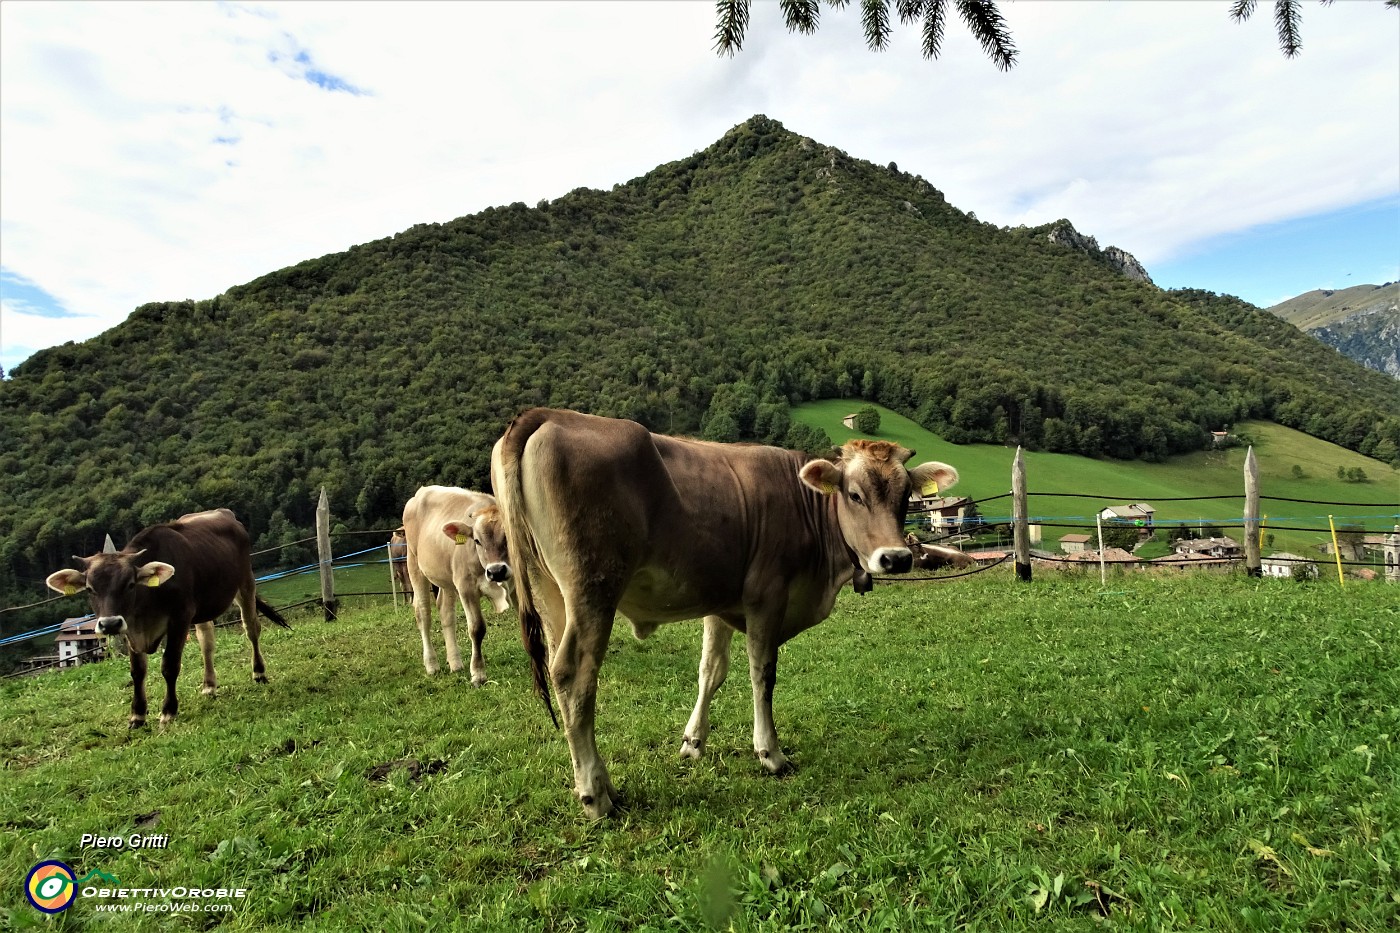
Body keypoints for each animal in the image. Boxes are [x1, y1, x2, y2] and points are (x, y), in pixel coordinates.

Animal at [44, 509, 289, 728]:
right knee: (207, 642)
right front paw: (137, 715)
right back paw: (209, 685)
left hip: (245, 583)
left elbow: (170, 665)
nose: (110, 623)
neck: (146, 604)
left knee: (251, 628)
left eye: (130, 584)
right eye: (89, 589)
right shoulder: (131, 629)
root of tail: (225, 513)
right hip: (203, 607)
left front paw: (168, 711)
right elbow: (137, 671)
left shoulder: (180, 617)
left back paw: (259, 672)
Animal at [495, 406, 963, 812]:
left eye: (905, 496)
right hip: (594, 590)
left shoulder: (719, 602)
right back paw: (596, 794)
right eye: (854, 494)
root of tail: (549, 415)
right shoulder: (766, 597)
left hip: (551, 592)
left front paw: (693, 743)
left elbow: (711, 671)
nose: (896, 558)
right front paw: (770, 753)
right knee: (574, 677)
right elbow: (762, 674)